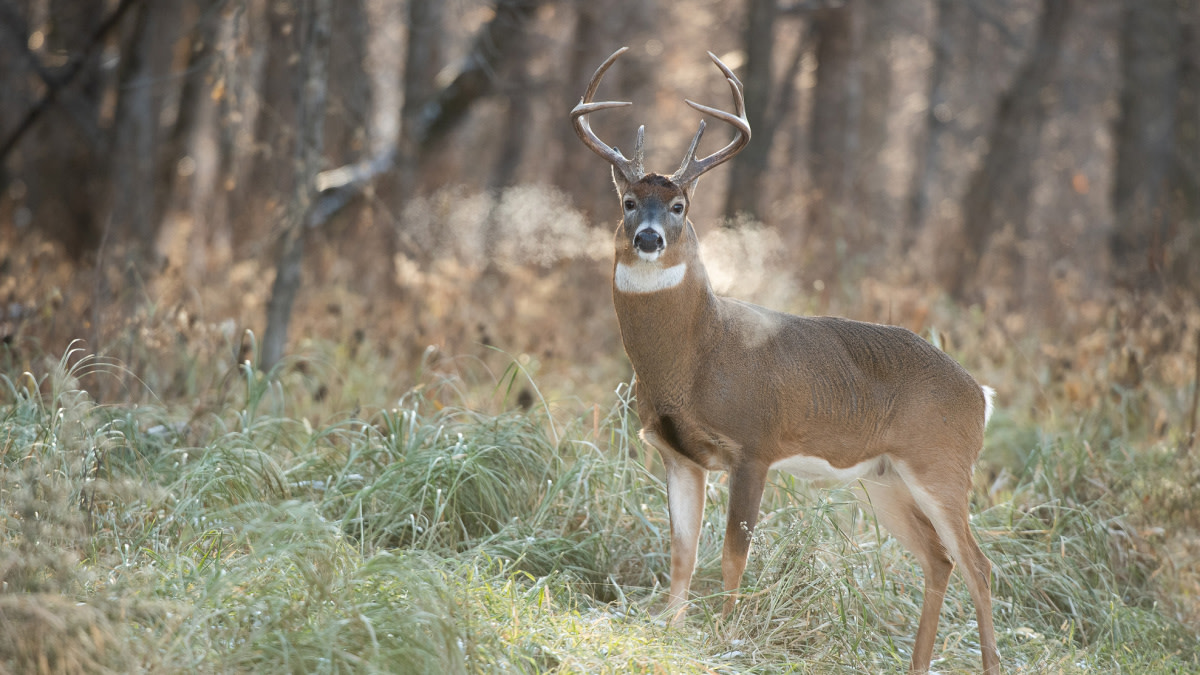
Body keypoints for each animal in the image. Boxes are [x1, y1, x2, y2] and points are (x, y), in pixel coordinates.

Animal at [570, 47, 1001, 675]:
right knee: (939, 559)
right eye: (628, 202)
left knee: (979, 564)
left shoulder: (755, 444)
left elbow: (733, 554)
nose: (649, 238)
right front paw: (671, 629)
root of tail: (982, 396)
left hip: (941, 464)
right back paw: (916, 664)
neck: (695, 357)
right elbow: (681, 552)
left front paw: (724, 638)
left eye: (679, 205)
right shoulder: (678, 454)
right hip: (886, 479)